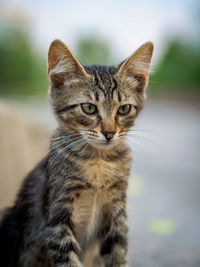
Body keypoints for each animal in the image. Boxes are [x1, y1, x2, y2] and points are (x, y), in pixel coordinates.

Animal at [0, 38, 153, 266]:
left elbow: (118, 253)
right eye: (89, 108)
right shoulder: (58, 216)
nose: (109, 133)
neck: (98, 161)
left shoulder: (117, 213)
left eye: (124, 109)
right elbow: (67, 258)